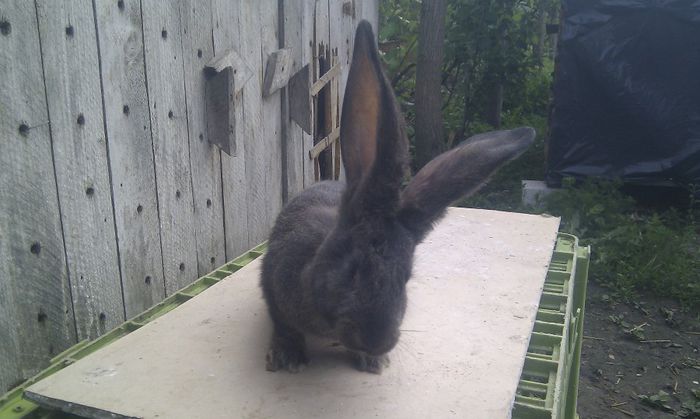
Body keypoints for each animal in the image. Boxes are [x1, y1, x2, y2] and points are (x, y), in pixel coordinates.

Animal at [260, 19, 532, 376]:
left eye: (405, 279)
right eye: (353, 270)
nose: (378, 342)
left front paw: (373, 362)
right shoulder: (272, 283)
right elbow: (283, 324)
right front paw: (289, 357)